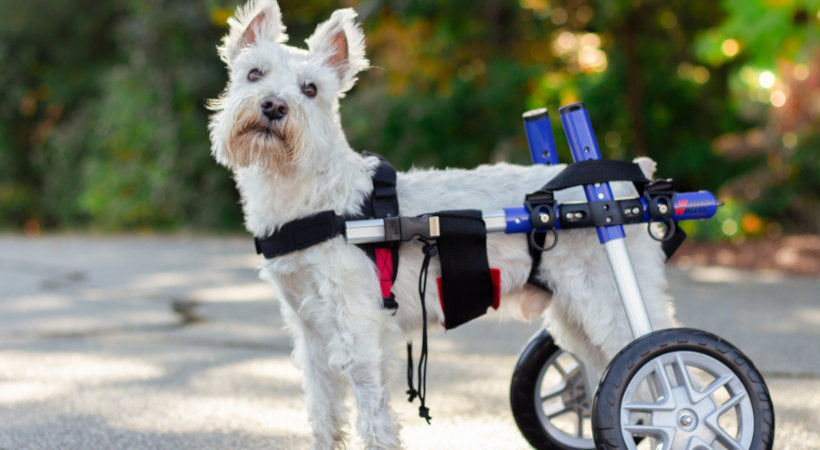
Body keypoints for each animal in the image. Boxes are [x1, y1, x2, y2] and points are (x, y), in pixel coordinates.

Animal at [208, 1, 676, 448]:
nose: (273, 105)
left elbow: (372, 410)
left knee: (663, 372)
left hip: (613, 302)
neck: (310, 196)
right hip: (575, 317)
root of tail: (626, 184)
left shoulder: (358, 330)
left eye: (311, 89)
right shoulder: (310, 333)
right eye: (253, 74)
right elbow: (323, 413)